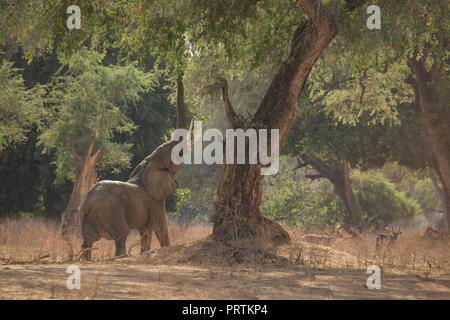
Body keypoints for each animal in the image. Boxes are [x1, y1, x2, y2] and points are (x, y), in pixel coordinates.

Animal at [79, 79, 188, 258]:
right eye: (173, 158)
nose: (179, 77)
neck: (146, 166)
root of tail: (86, 204)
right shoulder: (154, 200)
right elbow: (159, 227)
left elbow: (146, 233)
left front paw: (145, 252)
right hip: (111, 212)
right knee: (121, 236)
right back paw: (121, 256)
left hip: (88, 219)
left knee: (87, 242)